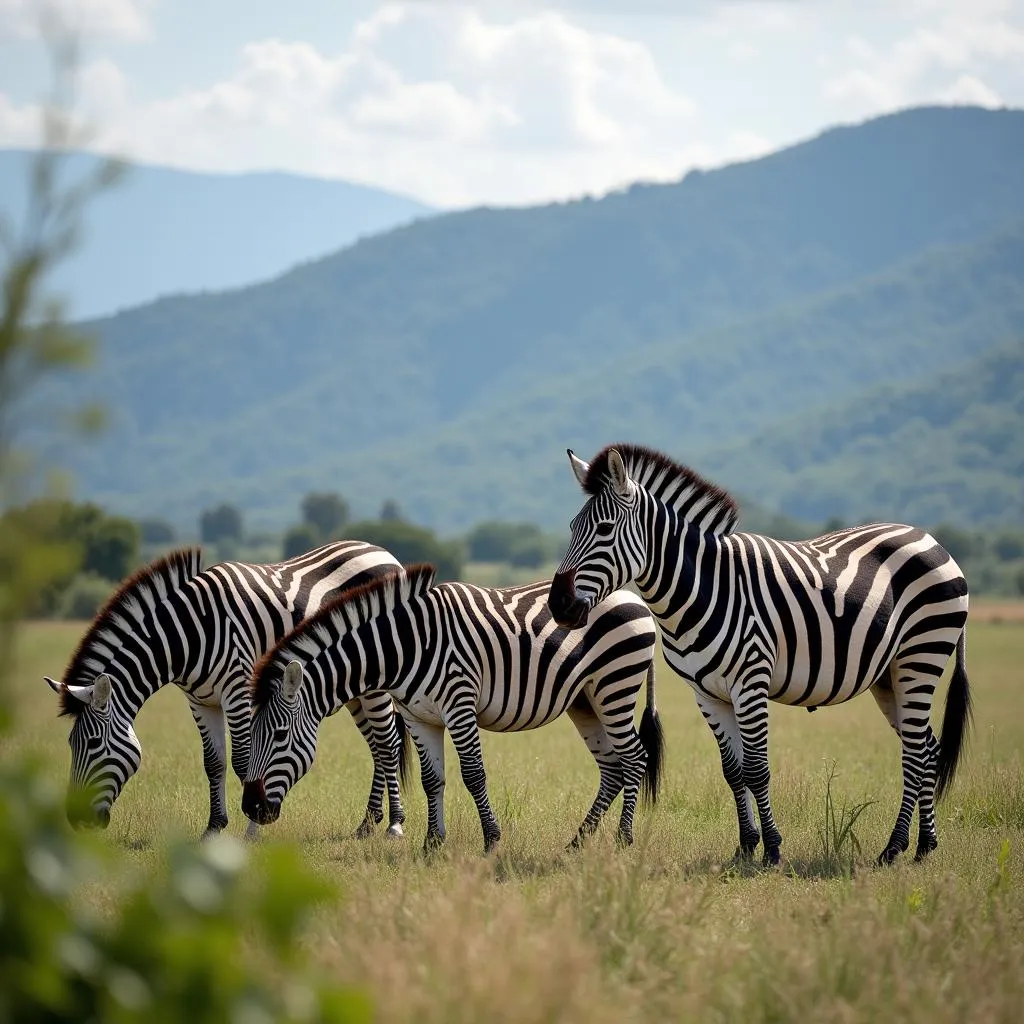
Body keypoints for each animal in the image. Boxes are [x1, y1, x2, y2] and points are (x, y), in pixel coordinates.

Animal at [43, 540, 411, 835]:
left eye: (93, 744)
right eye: (71, 744)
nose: (76, 821)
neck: (187, 635)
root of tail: (380, 550)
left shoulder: (237, 691)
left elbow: (245, 762)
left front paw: (252, 829)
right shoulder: (199, 701)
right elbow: (214, 762)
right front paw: (214, 828)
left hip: (376, 683)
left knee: (388, 743)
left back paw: (394, 823)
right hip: (354, 687)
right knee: (376, 747)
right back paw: (367, 824)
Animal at [244, 565, 667, 851]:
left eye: (279, 736)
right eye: (252, 734)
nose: (251, 807)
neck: (405, 646)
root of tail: (632, 597)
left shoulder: (459, 703)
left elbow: (473, 775)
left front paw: (492, 840)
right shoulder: (418, 716)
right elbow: (433, 779)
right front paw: (432, 843)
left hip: (615, 685)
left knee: (634, 758)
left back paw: (623, 839)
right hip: (586, 701)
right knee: (612, 767)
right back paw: (577, 842)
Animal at [548, 444, 970, 868]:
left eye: (604, 530)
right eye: (570, 527)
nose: (558, 605)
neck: (701, 589)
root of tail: (929, 538)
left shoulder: (750, 682)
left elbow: (757, 769)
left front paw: (772, 849)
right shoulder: (707, 692)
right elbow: (733, 771)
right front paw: (746, 845)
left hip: (922, 654)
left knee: (915, 752)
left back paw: (894, 847)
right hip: (889, 674)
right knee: (928, 748)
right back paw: (924, 845)